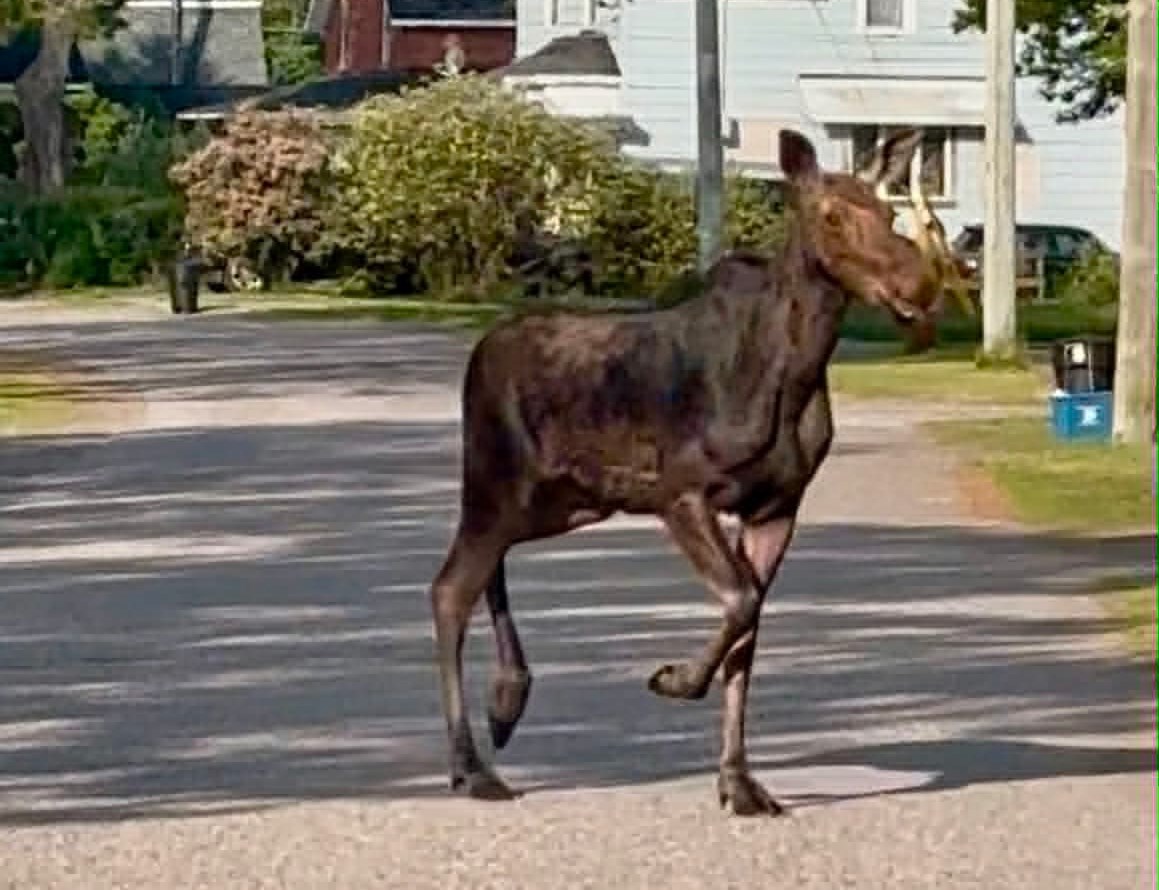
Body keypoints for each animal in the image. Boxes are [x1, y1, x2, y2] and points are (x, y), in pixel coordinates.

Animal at [428, 127, 936, 817]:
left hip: (563, 501)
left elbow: (749, 630)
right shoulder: (683, 492)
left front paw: (739, 783)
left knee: (484, 569)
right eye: (831, 216)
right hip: (497, 479)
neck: (792, 376)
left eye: (887, 211)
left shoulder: (777, 507)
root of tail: (477, 354)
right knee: (449, 588)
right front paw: (673, 679)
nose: (920, 283)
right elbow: (740, 600)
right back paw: (472, 765)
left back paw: (507, 701)